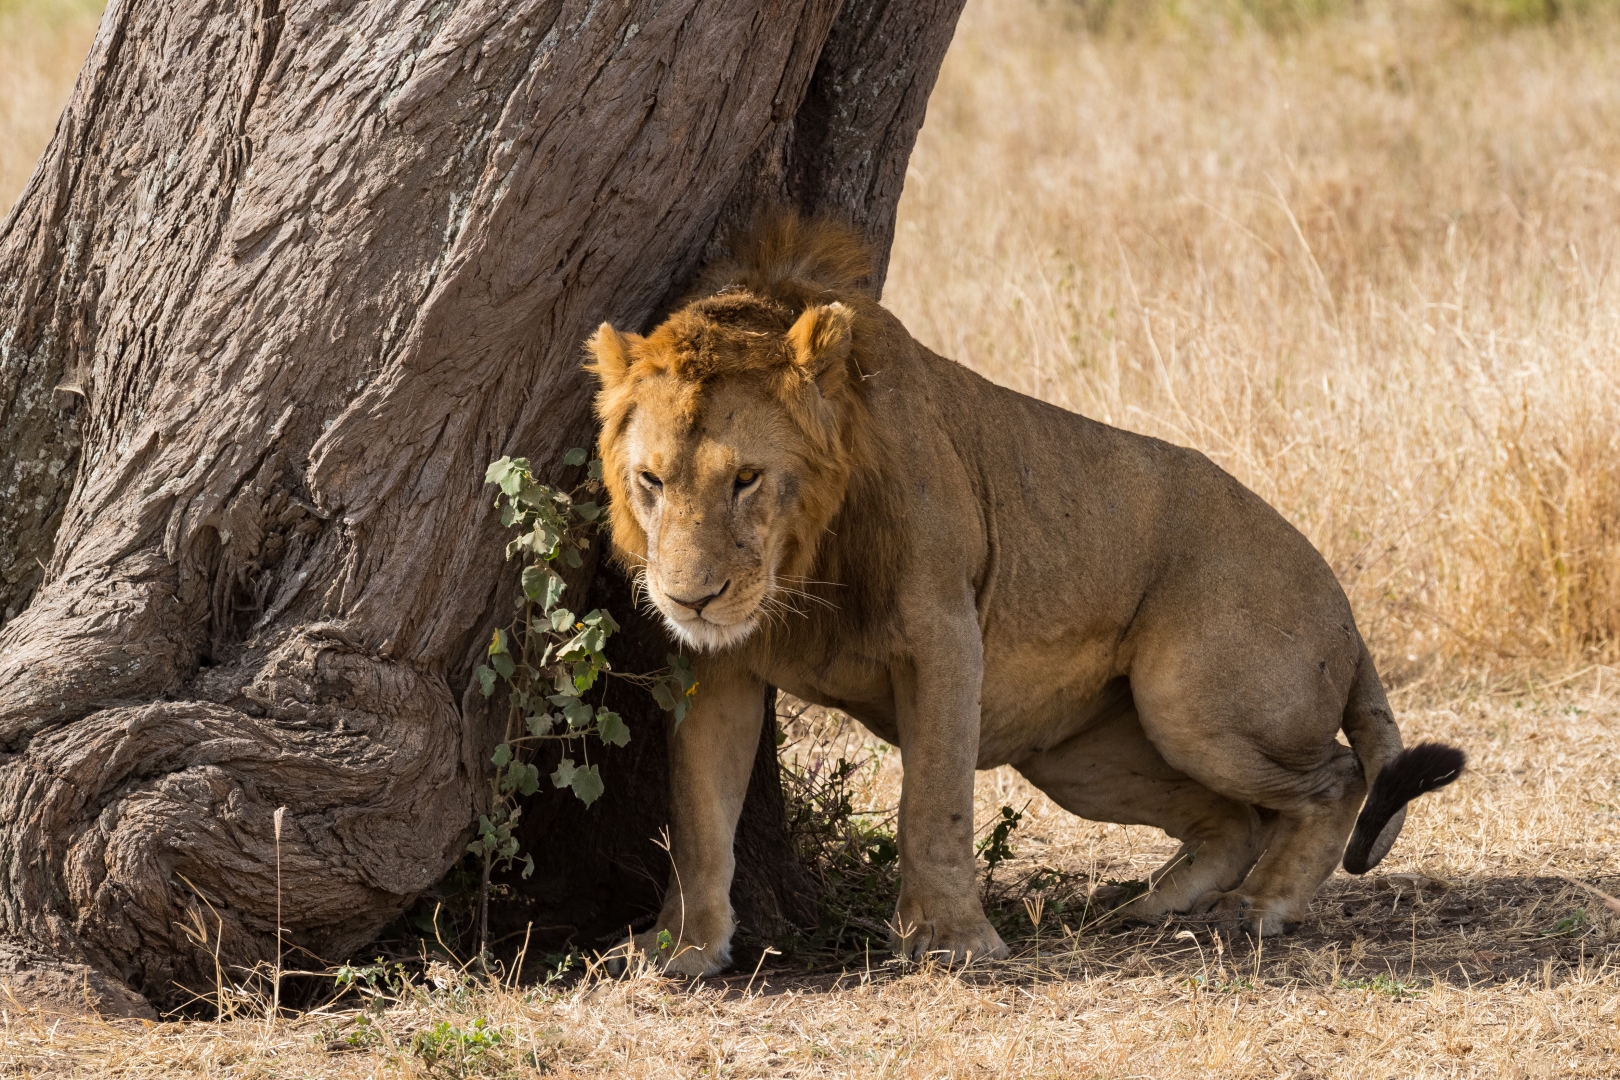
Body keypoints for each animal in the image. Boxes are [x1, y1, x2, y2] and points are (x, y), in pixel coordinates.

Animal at [586, 215, 1470, 977]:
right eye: (651, 480)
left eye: (746, 478)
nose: (690, 599)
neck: (801, 561)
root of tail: (1345, 610)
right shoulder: (720, 667)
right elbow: (699, 817)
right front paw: (680, 949)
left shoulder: (943, 632)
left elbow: (933, 801)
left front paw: (951, 939)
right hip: (1078, 757)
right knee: (1237, 819)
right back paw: (1149, 906)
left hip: (1191, 702)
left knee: (1338, 779)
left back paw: (1258, 907)